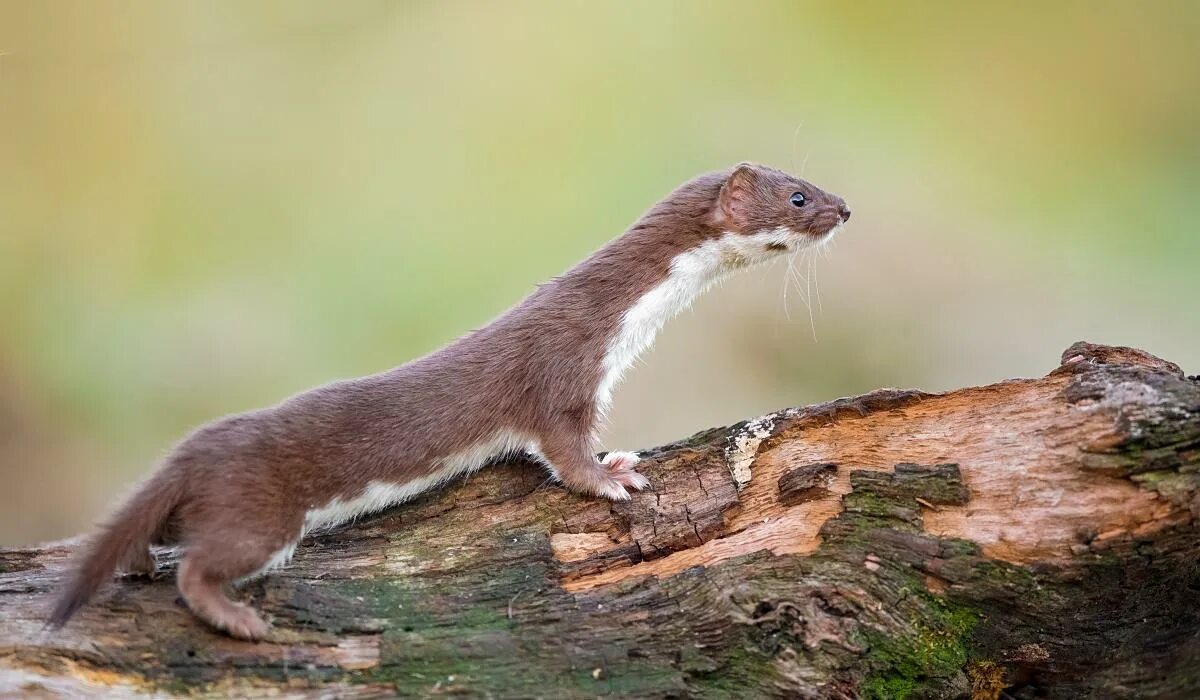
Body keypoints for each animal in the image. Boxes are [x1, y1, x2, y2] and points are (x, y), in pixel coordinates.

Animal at [51, 163, 849, 638]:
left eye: (810, 178)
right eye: (799, 195)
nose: (846, 208)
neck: (625, 328)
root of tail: (190, 451)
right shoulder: (561, 373)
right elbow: (565, 451)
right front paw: (613, 475)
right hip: (262, 517)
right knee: (200, 564)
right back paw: (237, 617)